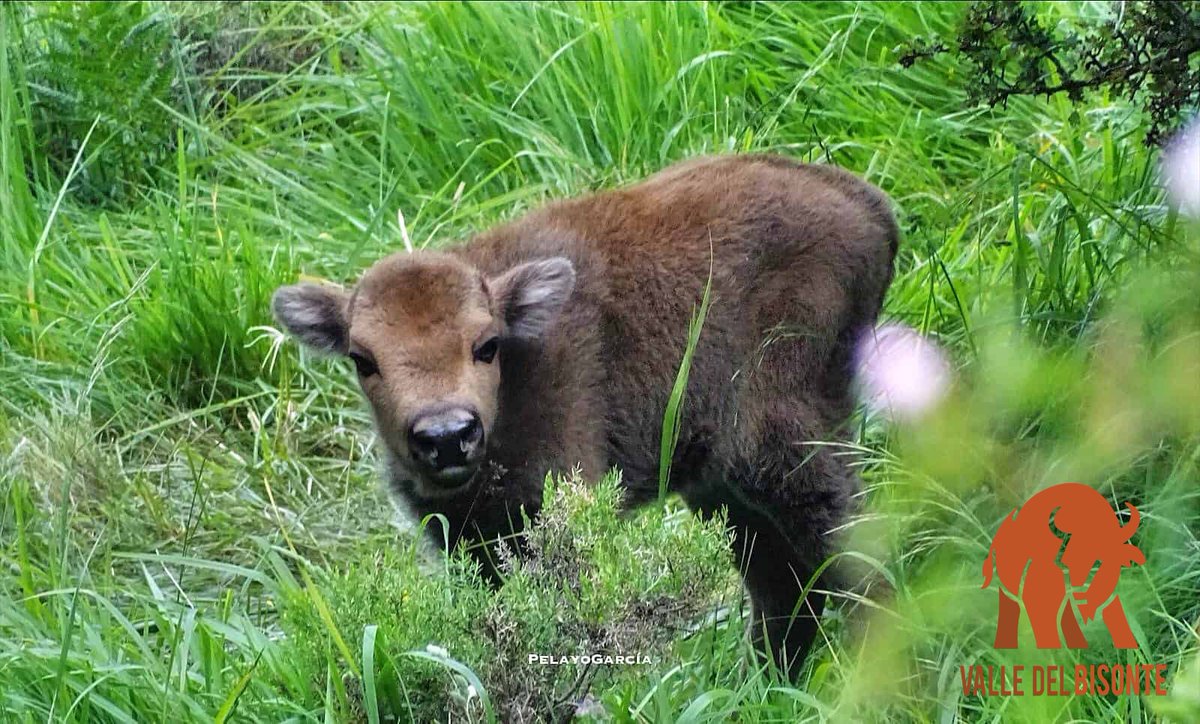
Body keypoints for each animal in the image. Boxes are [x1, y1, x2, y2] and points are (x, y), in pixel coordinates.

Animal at [272, 154, 899, 677]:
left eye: (486, 345)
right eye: (362, 359)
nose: (447, 436)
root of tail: (866, 205)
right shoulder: (473, 542)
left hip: (784, 445)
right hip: (724, 483)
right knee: (783, 581)